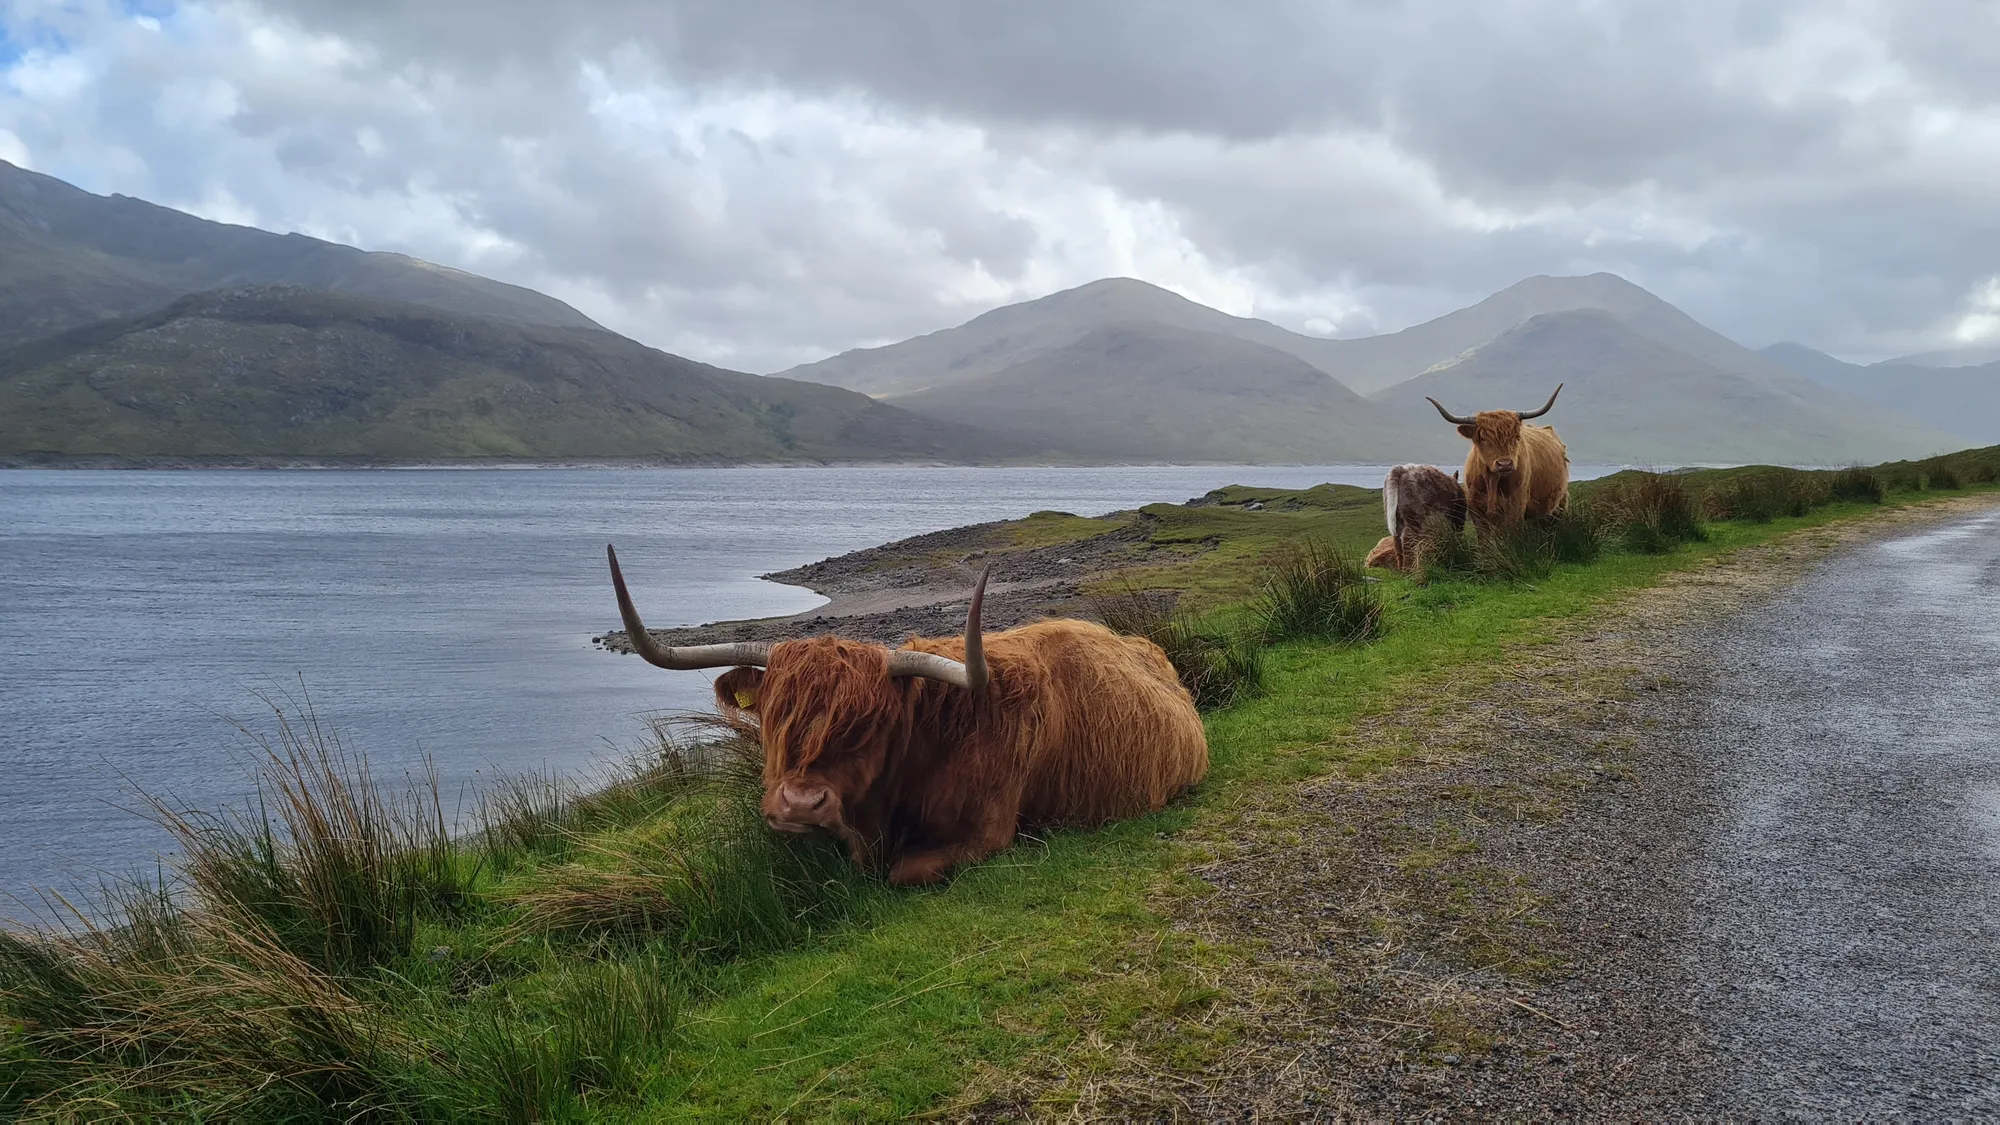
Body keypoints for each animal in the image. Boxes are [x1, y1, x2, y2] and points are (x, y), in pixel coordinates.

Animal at [1426, 384, 1570, 532]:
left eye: (1516, 436)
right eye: (1483, 438)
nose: (1505, 464)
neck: (1492, 481)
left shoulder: (1515, 507)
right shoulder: (1476, 510)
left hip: (1559, 504)